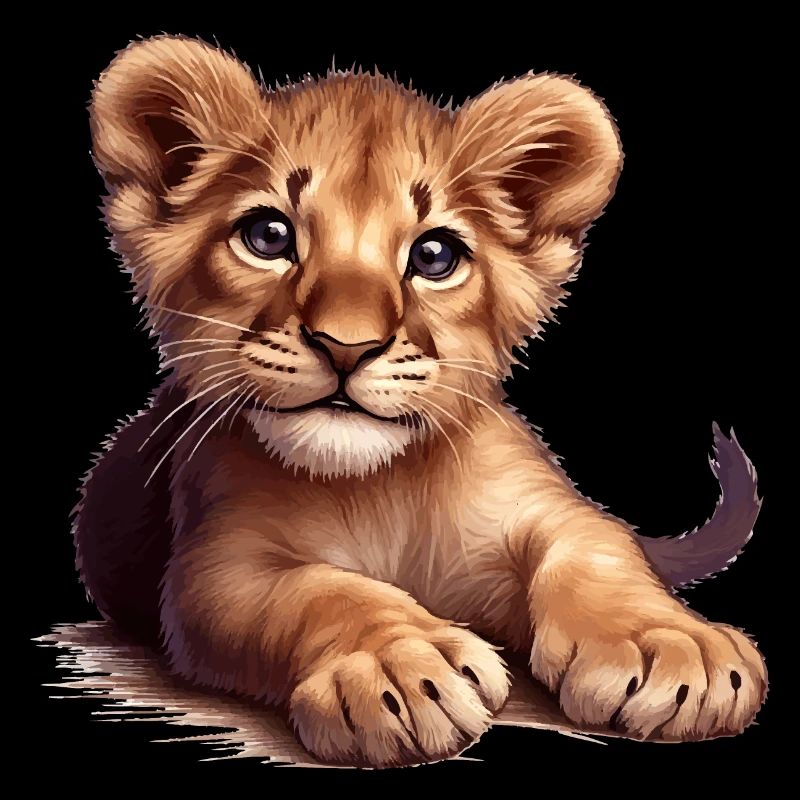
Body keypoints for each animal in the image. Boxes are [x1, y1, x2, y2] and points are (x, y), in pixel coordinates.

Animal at [74, 35, 767, 767]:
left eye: (435, 256)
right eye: (268, 237)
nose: (346, 346)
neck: (381, 486)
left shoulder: (538, 504)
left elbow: (598, 544)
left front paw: (674, 647)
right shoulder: (216, 561)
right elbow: (317, 592)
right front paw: (401, 667)